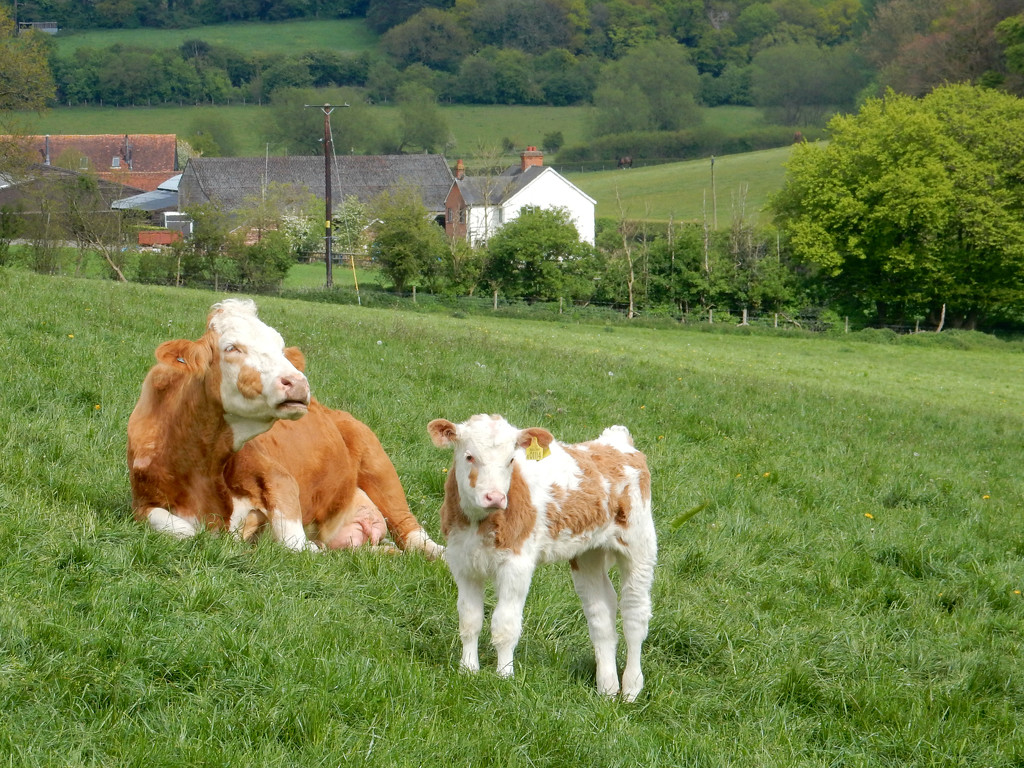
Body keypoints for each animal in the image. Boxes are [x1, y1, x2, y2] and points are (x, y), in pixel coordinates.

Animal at [126, 299, 440, 561]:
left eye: (280, 347)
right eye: (231, 348)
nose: (297, 381)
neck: (201, 467)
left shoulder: (280, 478)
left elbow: (294, 544)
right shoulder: (140, 504)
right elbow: (186, 531)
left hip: (378, 465)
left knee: (412, 534)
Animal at [430, 415, 655, 704]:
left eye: (511, 460)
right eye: (469, 456)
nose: (495, 497)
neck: (477, 522)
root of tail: (615, 441)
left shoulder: (517, 565)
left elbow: (505, 624)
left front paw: (504, 676)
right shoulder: (462, 562)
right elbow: (469, 620)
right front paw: (467, 670)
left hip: (639, 545)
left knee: (634, 613)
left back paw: (631, 689)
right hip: (587, 554)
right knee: (601, 613)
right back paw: (606, 688)